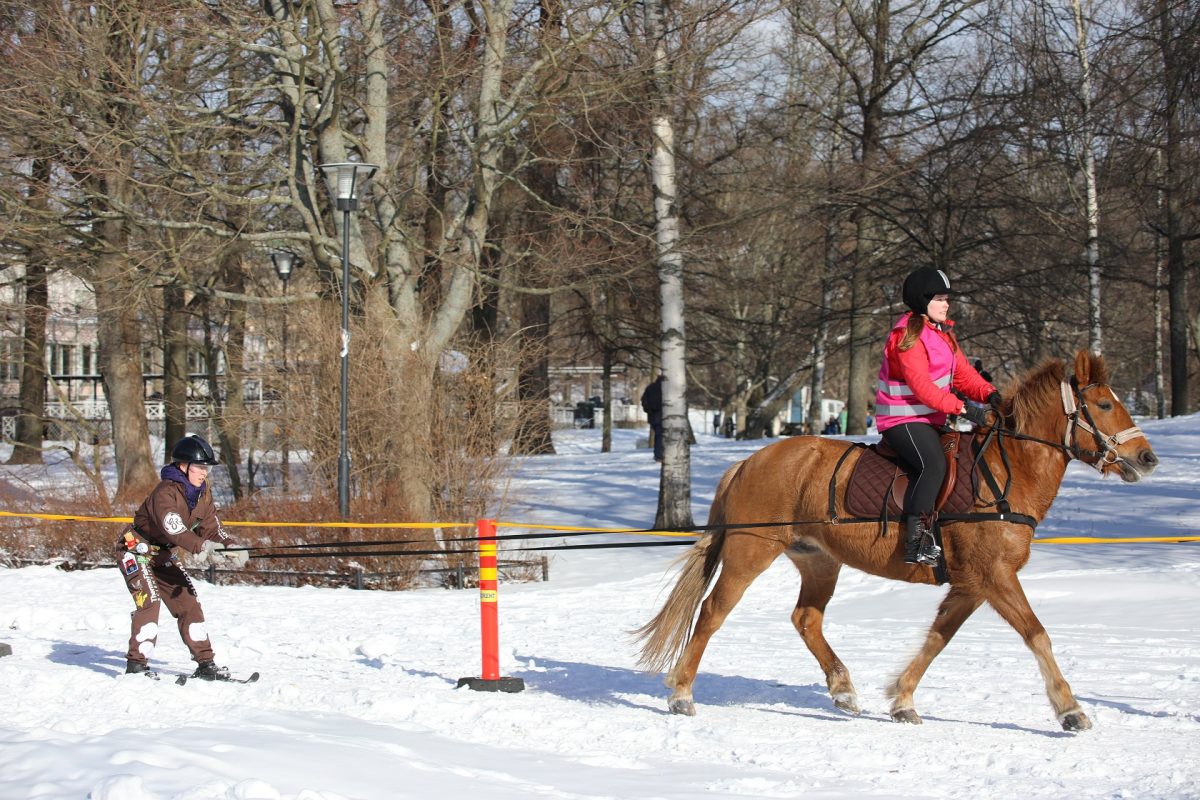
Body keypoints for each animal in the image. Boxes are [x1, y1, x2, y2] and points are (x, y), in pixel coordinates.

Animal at [643, 352, 1156, 734]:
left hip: (819, 561)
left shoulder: (971, 584)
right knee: (712, 612)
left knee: (806, 619)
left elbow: (937, 639)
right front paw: (1070, 710)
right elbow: (1037, 635)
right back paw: (682, 693)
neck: (1006, 473)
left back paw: (843, 689)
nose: (1146, 458)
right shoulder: (994, 576)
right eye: (1104, 405)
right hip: (750, 552)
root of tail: (750, 462)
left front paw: (902, 699)